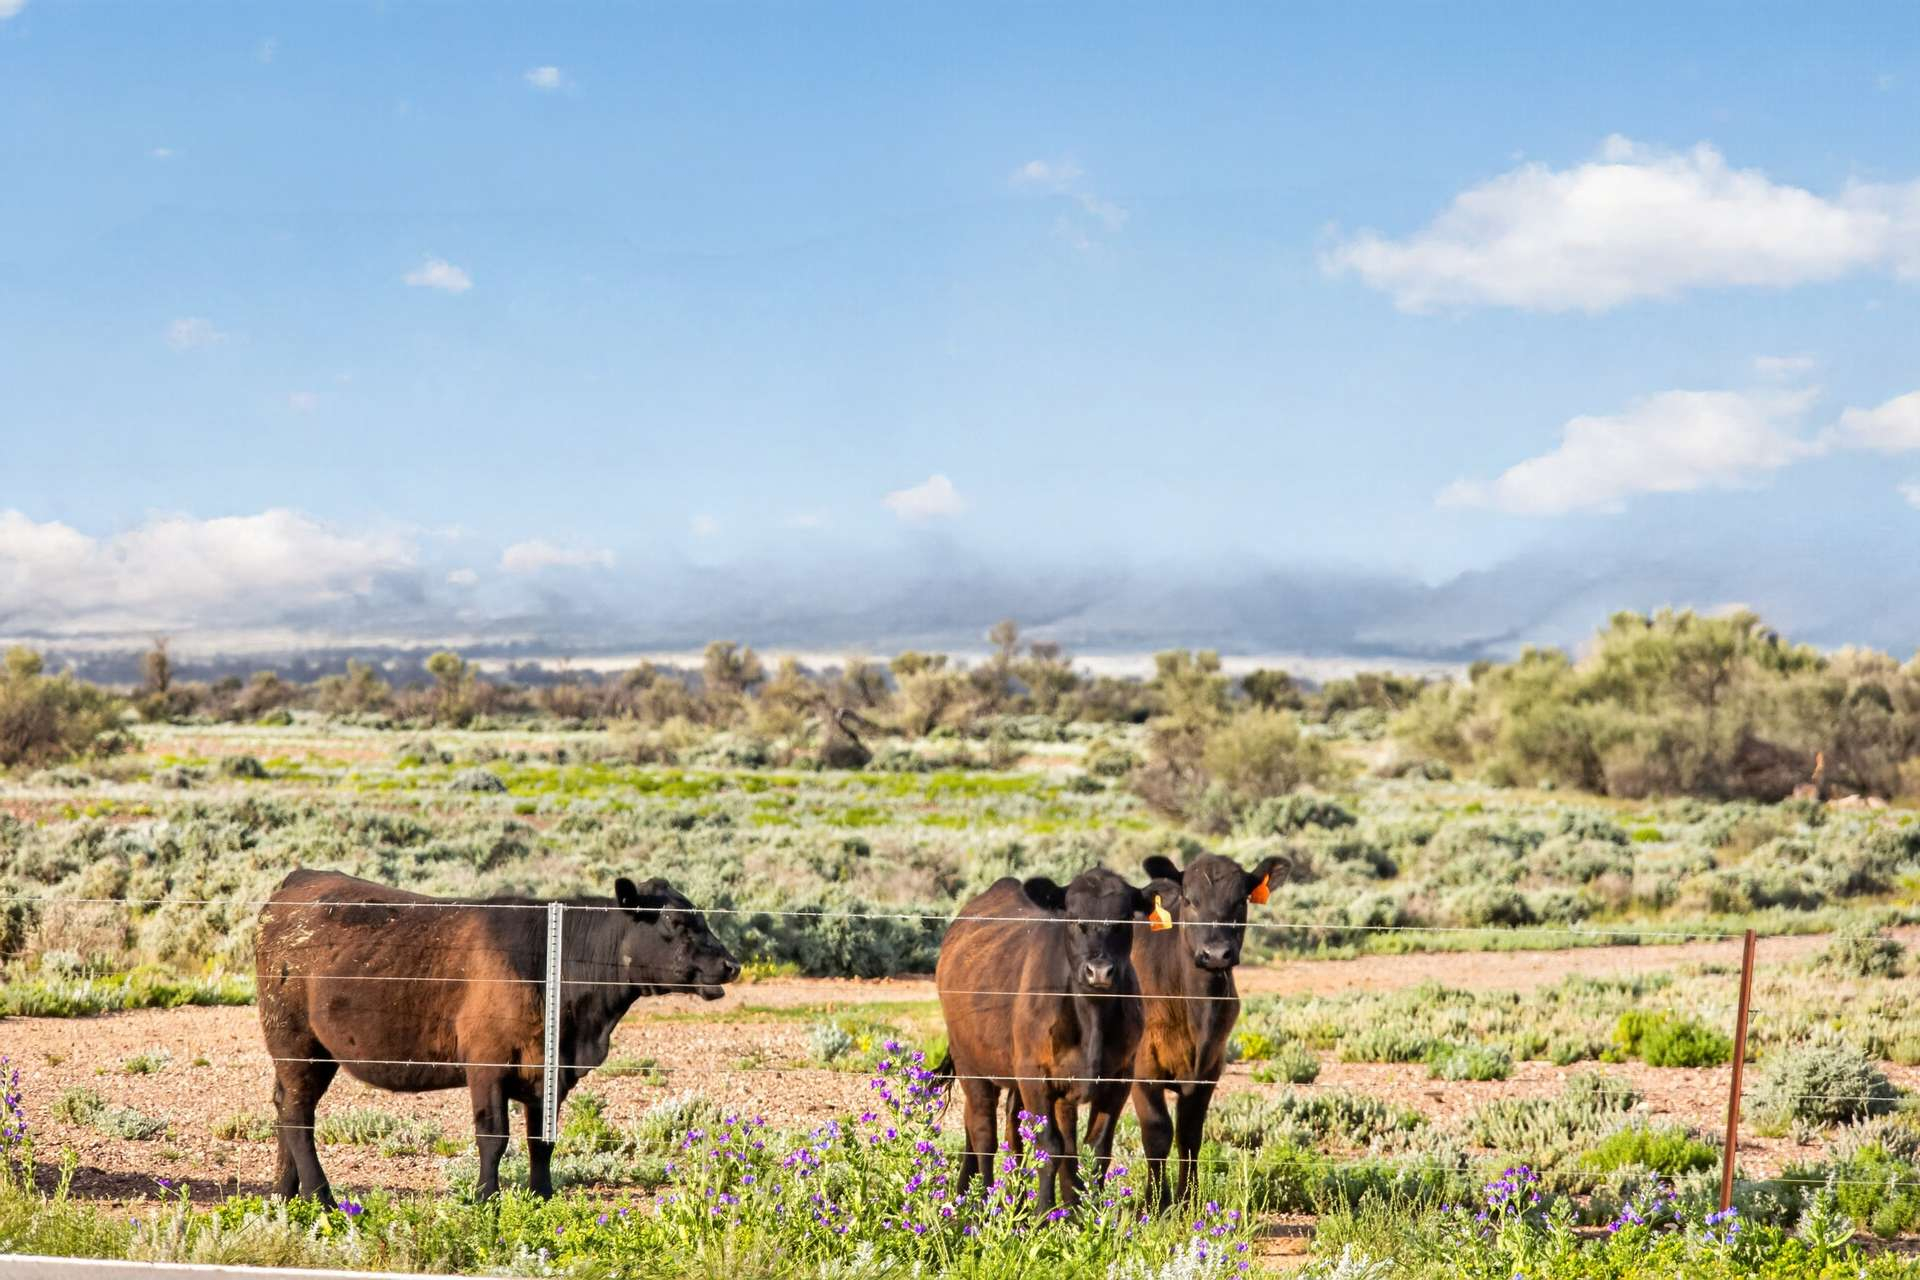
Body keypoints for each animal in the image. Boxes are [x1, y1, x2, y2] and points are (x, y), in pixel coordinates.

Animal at [254, 868, 740, 1205]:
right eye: (676, 921)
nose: (731, 965)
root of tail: (296, 882)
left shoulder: (549, 1071)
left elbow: (541, 1139)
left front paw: (542, 1197)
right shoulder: (488, 1064)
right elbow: (493, 1135)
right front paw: (487, 1198)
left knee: (285, 1109)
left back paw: (285, 1192)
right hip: (297, 1043)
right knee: (298, 1115)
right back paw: (321, 1197)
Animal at [934, 868, 1151, 1214]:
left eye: (1124, 918)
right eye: (1074, 917)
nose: (1099, 971)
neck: (1092, 1016)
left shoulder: (1119, 1078)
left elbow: (1095, 1149)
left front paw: (1086, 1214)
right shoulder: (1034, 1077)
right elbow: (1049, 1146)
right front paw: (1044, 1213)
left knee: (1011, 1131)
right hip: (971, 1064)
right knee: (983, 1131)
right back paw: (984, 1202)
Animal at [1128, 851, 1287, 1206]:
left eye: (1241, 900)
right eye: (1189, 899)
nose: (1216, 954)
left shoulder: (1210, 1069)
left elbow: (1190, 1134)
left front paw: (1188, 1200)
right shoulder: (1142, 1068)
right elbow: (1157, 1131)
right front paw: (1155, 1203)